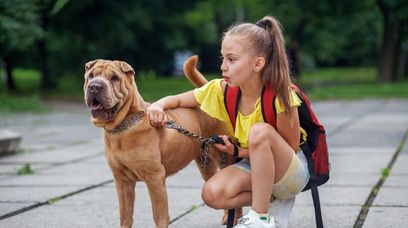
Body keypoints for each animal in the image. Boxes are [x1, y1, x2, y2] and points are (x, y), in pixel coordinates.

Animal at [84, 57, 241, 228]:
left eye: (114, 78)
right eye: (91, 76)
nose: (95, 87)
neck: (123, 127)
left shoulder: (154, 177)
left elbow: (159, 214)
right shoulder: (122, 181)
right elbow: (125, 215)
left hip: (225, 157)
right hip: (205, 165)